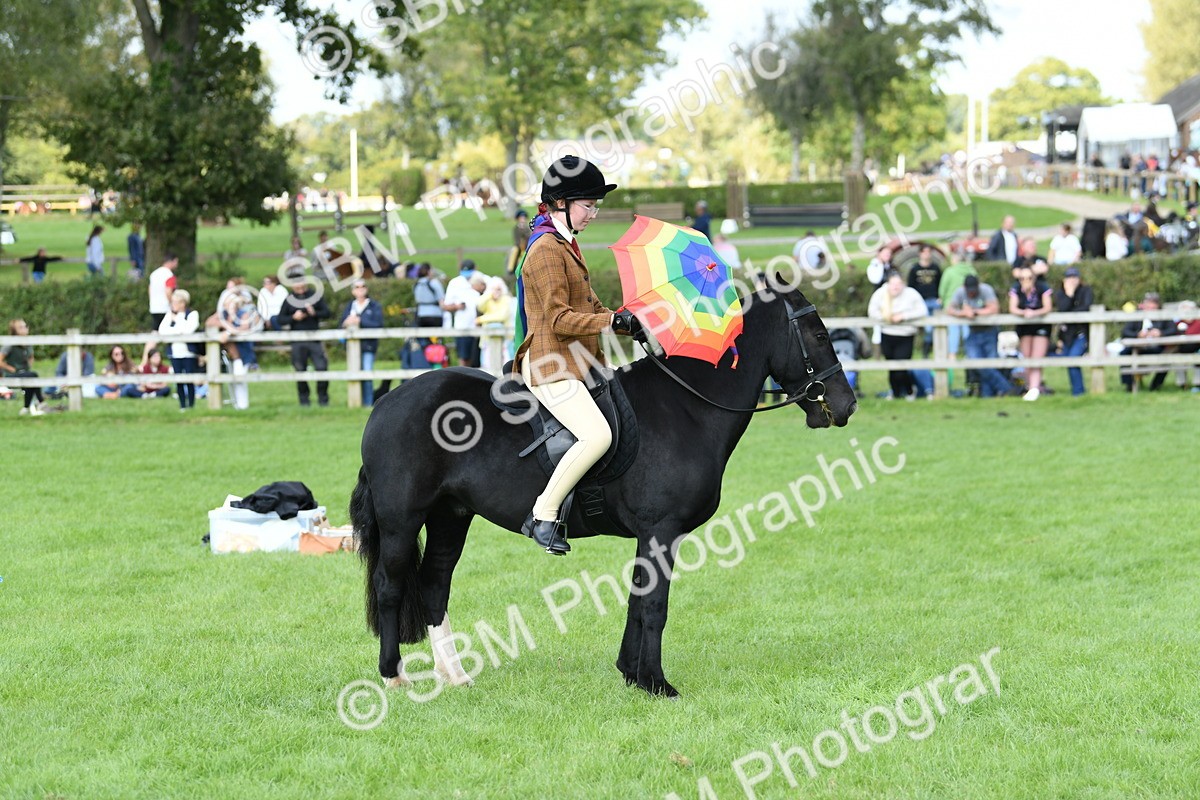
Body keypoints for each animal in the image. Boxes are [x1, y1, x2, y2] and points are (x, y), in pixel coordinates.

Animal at [349, 281, 858, 697]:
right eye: (818, 335)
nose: (846, 404)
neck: (686, 406)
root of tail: (389, 400)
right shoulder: (661, 530)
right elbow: (654, 606)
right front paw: (657, 684)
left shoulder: (650, 536)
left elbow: (637, 600)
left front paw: (633, 675)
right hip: (401, 521)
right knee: (391, 587)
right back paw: (393, 675)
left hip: (450, 517)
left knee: (435, 586)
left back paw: (453, 676)